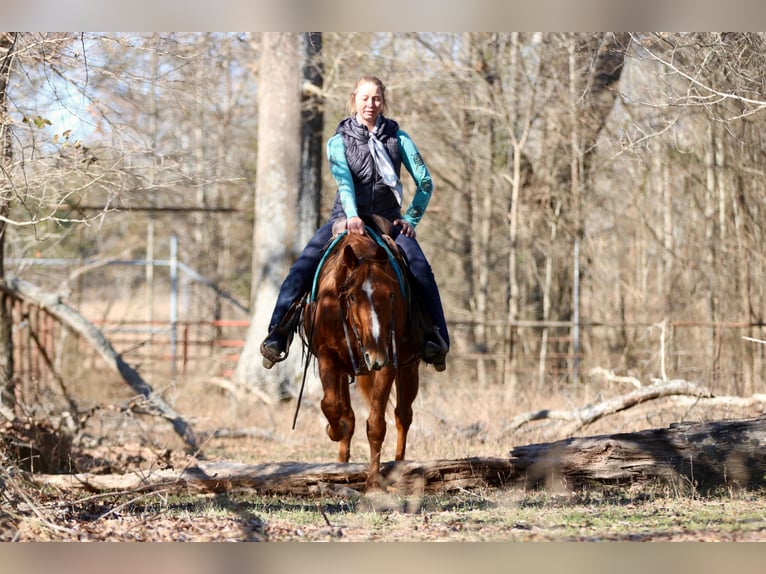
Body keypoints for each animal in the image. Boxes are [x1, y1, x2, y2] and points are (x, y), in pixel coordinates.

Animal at [301, 221, 423, 489]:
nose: (374, 355)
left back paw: (399, 467)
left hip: (408, 368)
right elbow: (332, 406)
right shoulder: (328, 358)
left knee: (403, 415)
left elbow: (376, 424)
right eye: (353, 296)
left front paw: (373, 482)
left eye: (390, 295)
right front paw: (333, 430)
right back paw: (340, 465)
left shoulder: (388, 363)